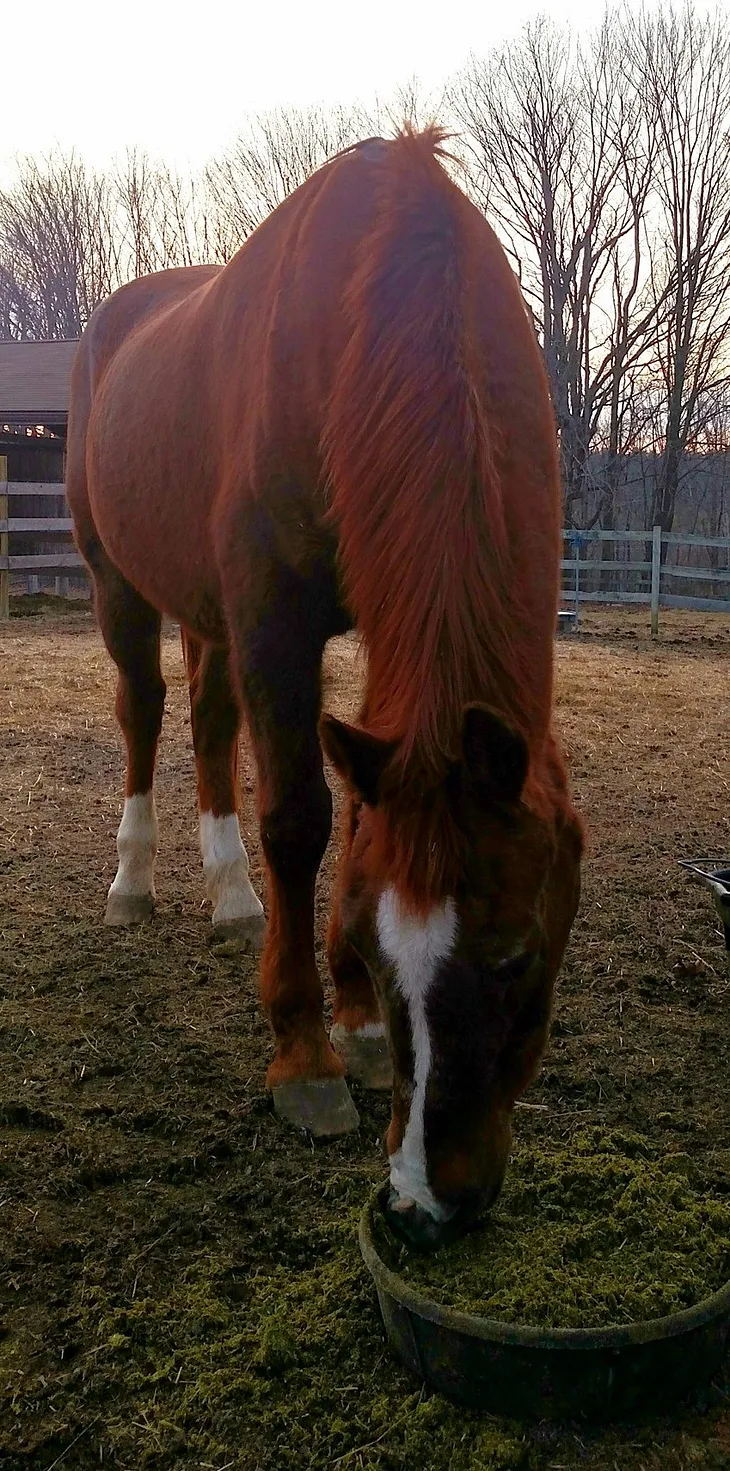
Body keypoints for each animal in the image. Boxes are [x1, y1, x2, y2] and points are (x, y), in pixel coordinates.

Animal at [66, 129, 582, 1253]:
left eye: (519, 955)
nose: (424, 1206)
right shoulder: (274, 618)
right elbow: (299, 818)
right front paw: (305, 1052)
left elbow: (352, 812)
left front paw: (350, 1020)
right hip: (117, 580)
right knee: (144, 712)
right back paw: (133, 881)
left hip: (206, 609)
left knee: (211, 723)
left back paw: (229, 895)